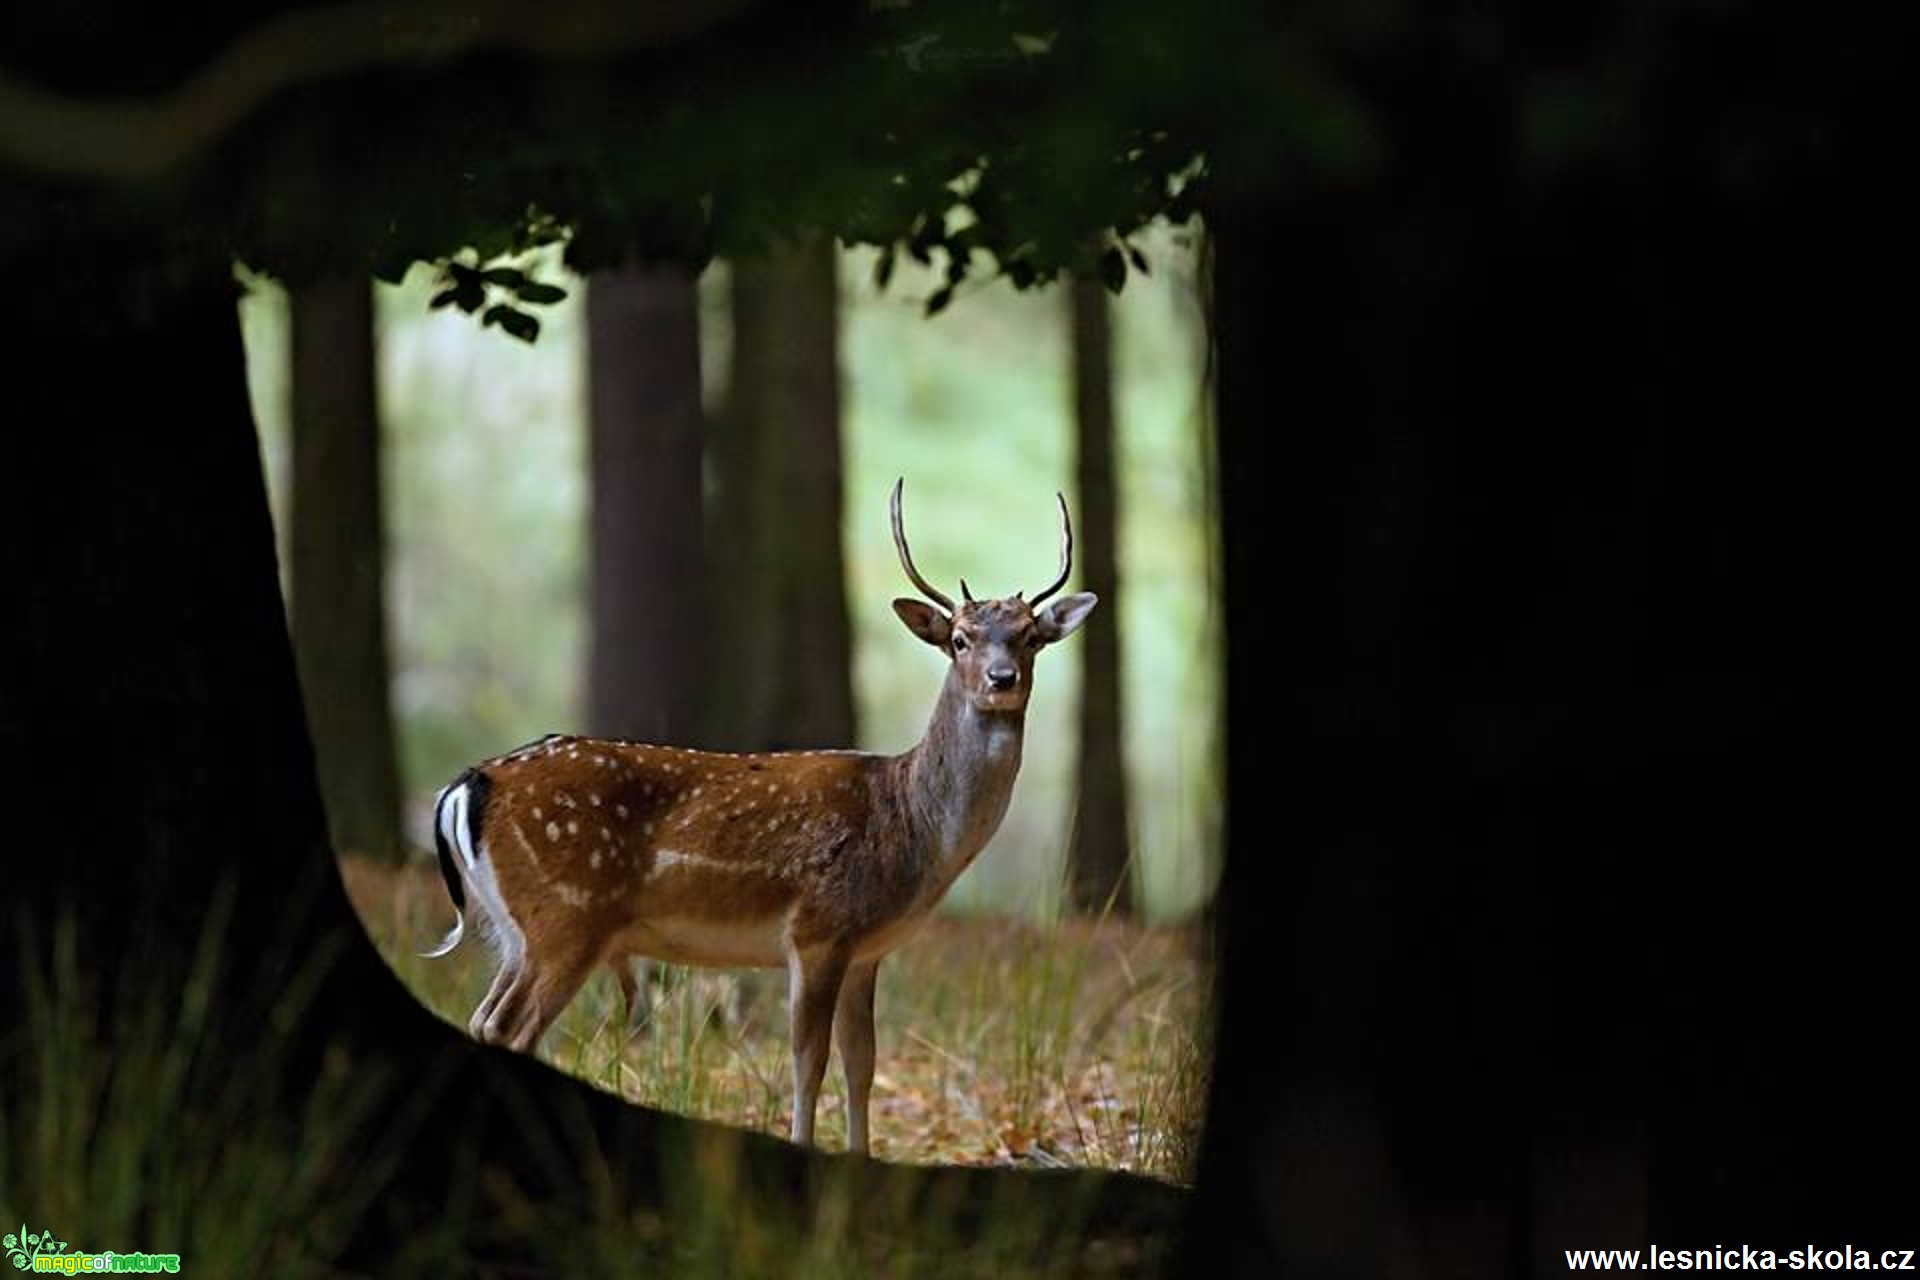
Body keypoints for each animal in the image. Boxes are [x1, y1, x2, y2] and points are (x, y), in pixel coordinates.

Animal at [428, 477, 1105, 1151]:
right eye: (959, 639)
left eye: (1029, 636)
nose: (1001, 678)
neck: (910, 826)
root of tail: (470, 783)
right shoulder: (817, 929)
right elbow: (809, 1060)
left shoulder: (867, 951)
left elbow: (862, 1065)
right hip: (565, 918)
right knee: (511, 1030)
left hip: (512, 930)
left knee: (483, 1020)